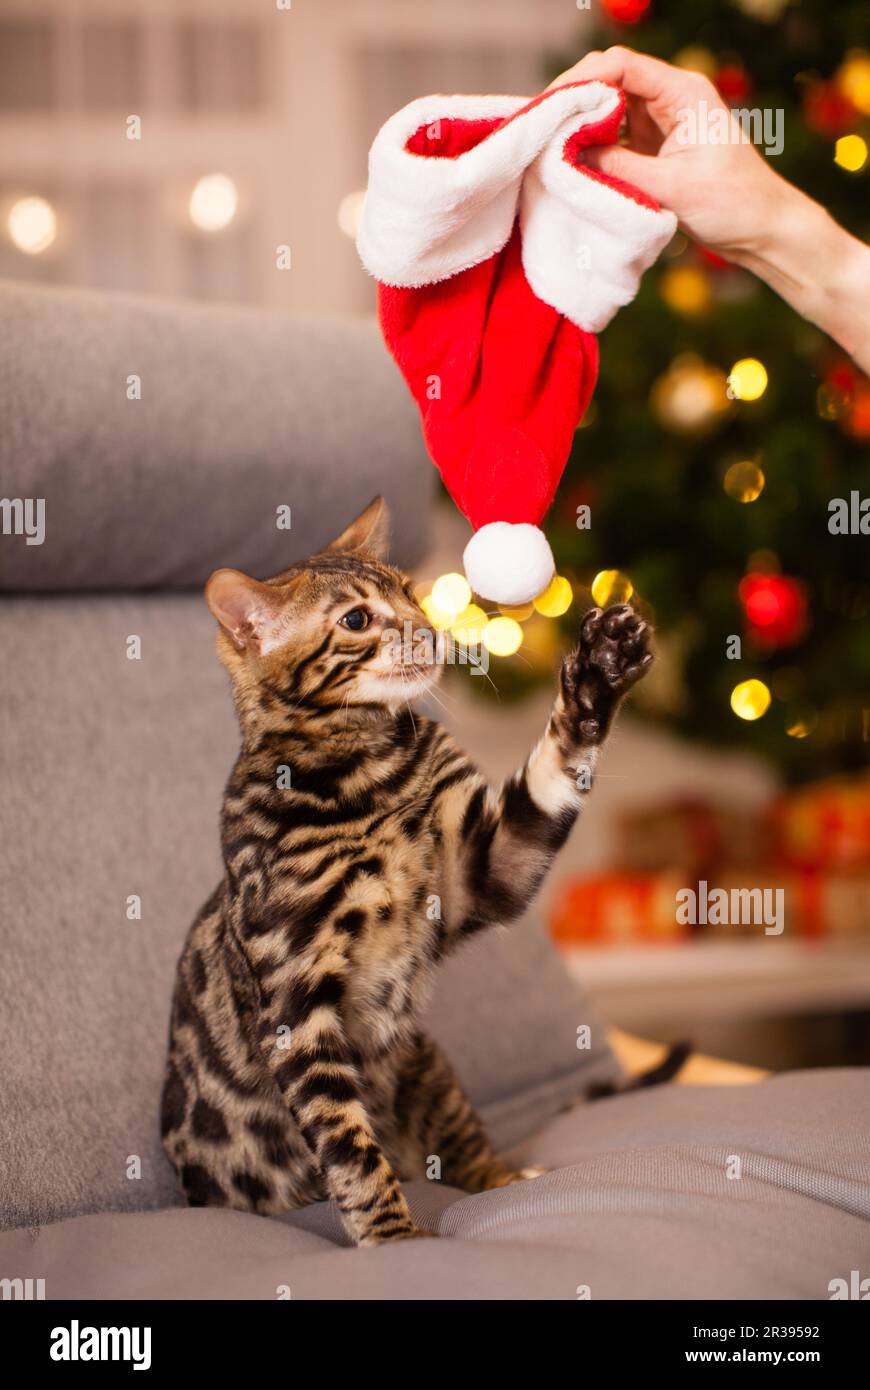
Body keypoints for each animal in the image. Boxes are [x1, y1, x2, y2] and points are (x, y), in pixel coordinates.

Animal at [161, 497, 650, 1251]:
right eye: (358, 620)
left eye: (411, 592)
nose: (432, 630)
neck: (366, 774)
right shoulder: (298, 1008)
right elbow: (348, 1144)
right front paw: (392, 1238)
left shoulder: (482, 871)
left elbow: (551, 774)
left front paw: (599, 672)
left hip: (425, 1062)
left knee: (471, 1148)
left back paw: (515, 1179)